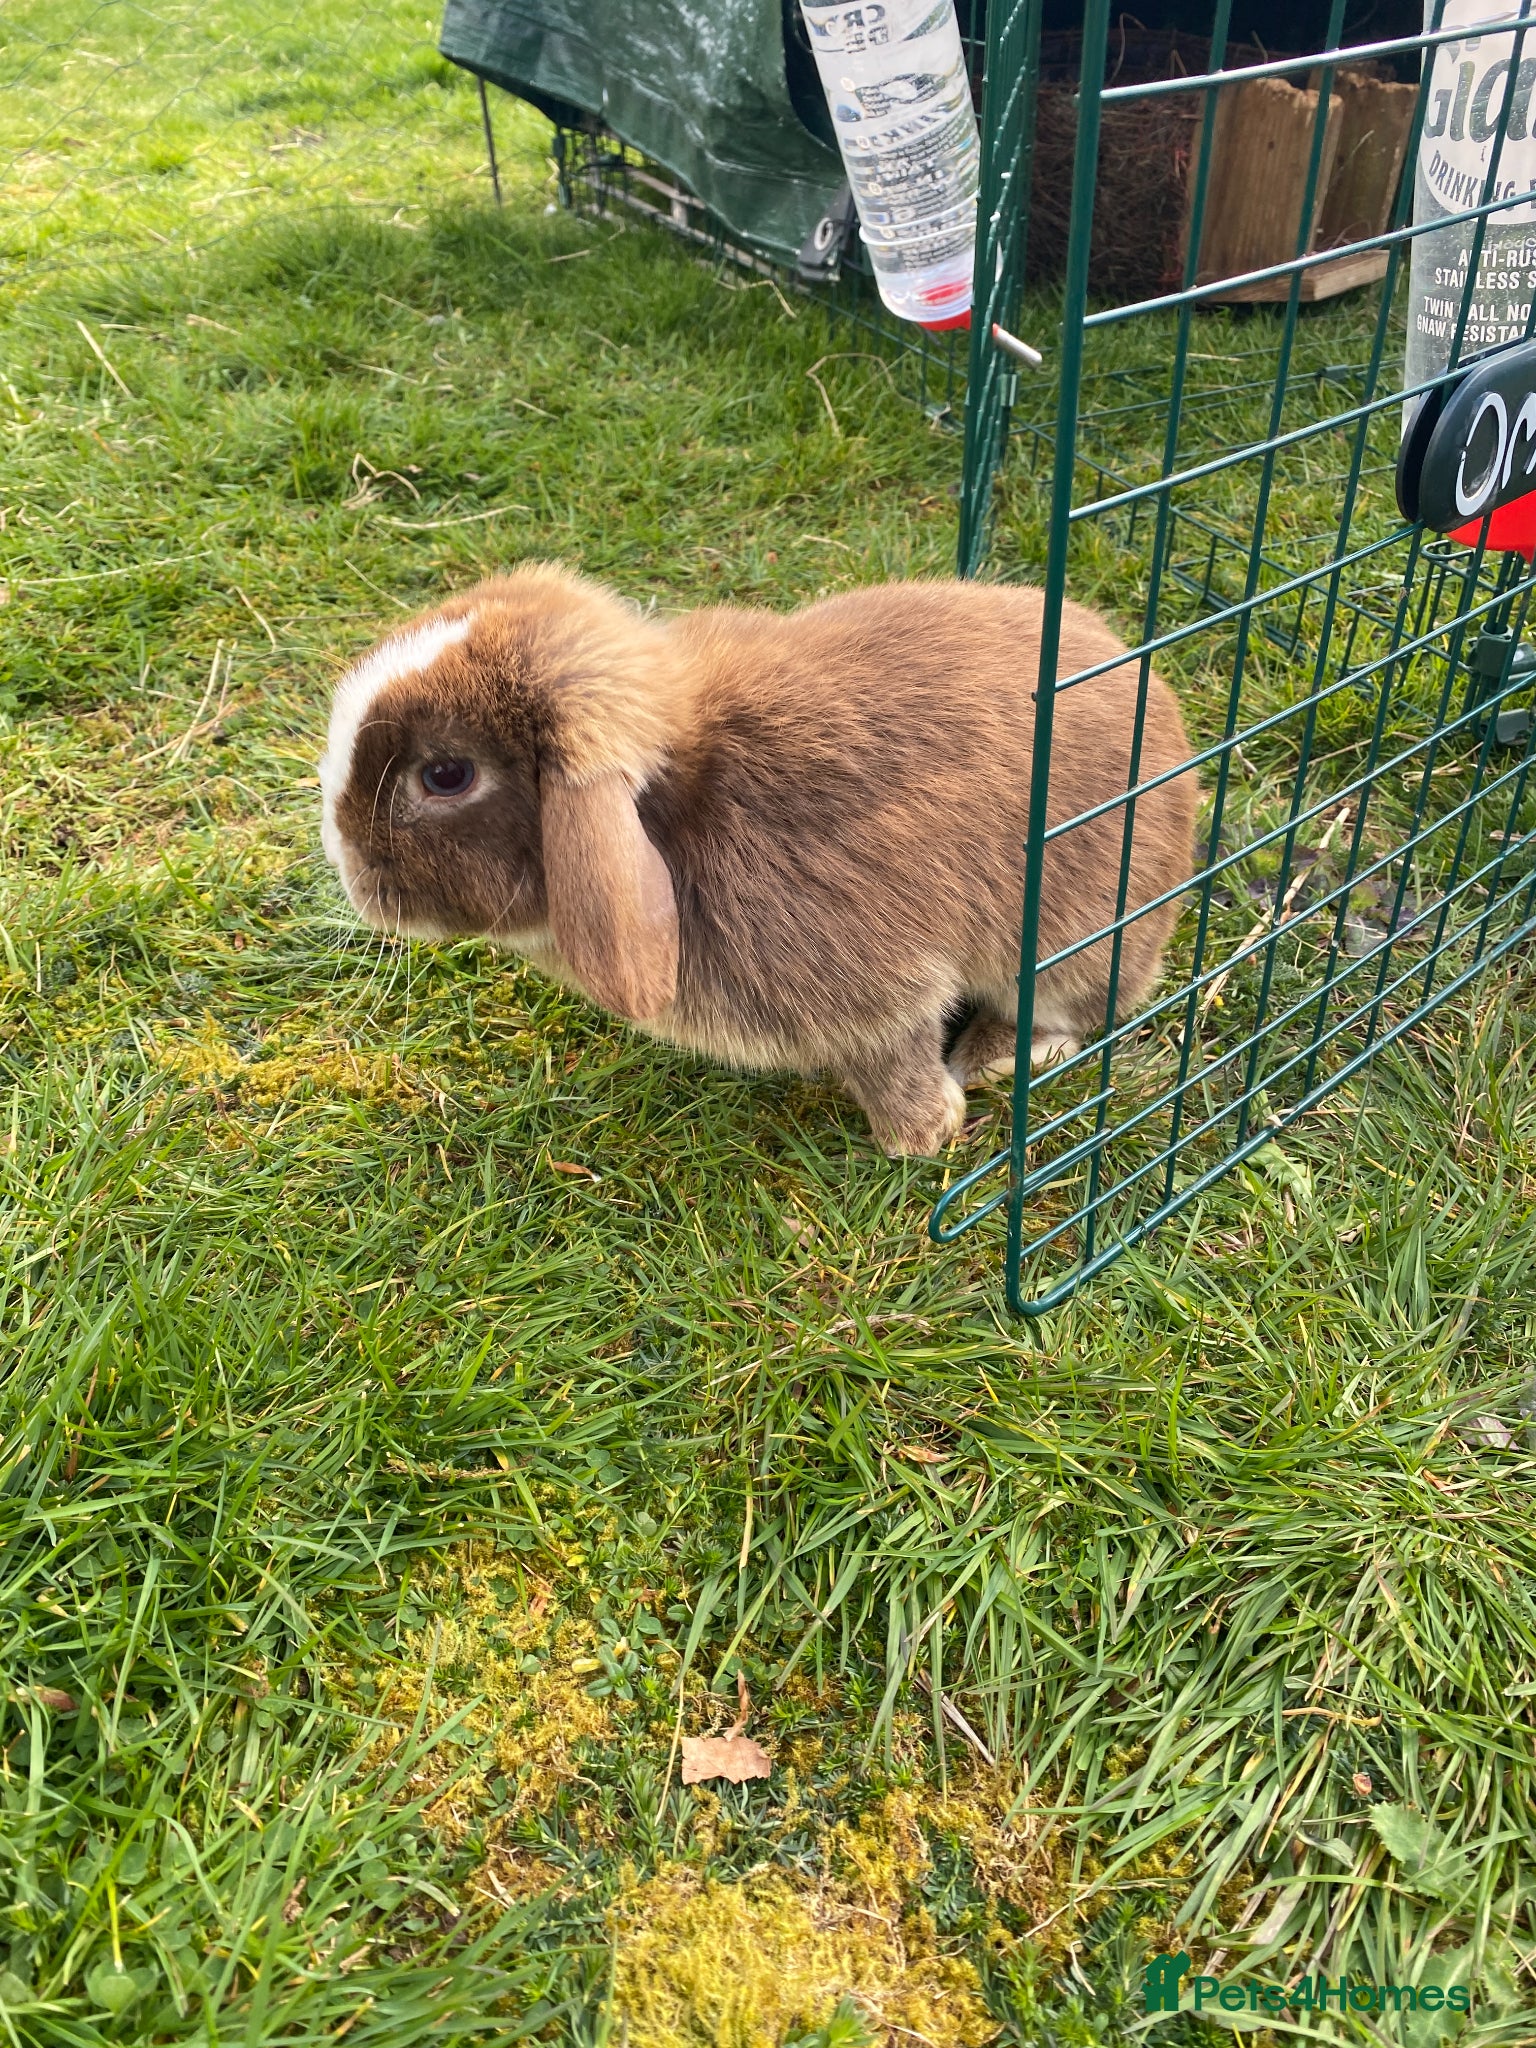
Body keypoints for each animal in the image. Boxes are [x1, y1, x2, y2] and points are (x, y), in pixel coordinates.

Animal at [318, 564, 1197, 1156]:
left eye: (445, 775)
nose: (345, 861)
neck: (673, 814)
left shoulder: (876, 991)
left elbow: (895, 1055)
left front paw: (920, 1137)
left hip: (1074, 937)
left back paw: (993, 1058)